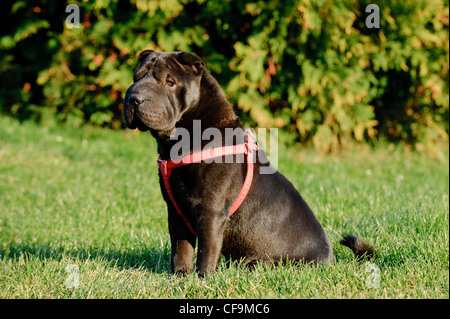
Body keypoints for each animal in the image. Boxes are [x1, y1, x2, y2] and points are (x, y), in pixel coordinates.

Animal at [123, 50, 372, 278]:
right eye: (136, 77)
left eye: (170, 82)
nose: (134, 97)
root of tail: (331, 261)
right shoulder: (175, 211)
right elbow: (180, 248)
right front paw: (179, 276)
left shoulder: (211, 212)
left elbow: (206, 251)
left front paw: (202, 279)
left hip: (259, 262)